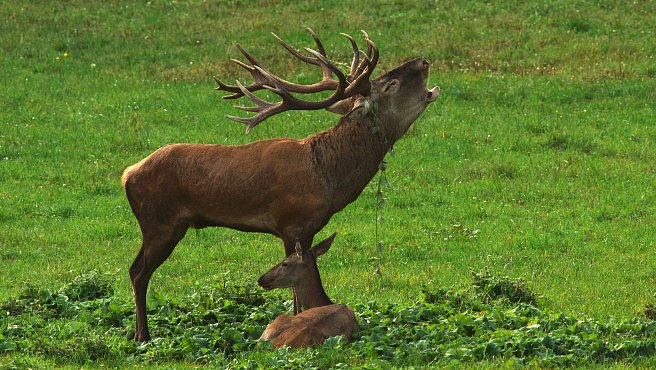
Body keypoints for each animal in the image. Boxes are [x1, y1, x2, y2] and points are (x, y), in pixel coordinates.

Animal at [123, 28, 440, 342]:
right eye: (391, 84)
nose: (424, 62)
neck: (328, 176)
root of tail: (127, 174)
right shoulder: (291, 222)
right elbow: (296, 294)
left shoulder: (311, 229)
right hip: (159, 222)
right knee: (138, 272)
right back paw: (143, 336)